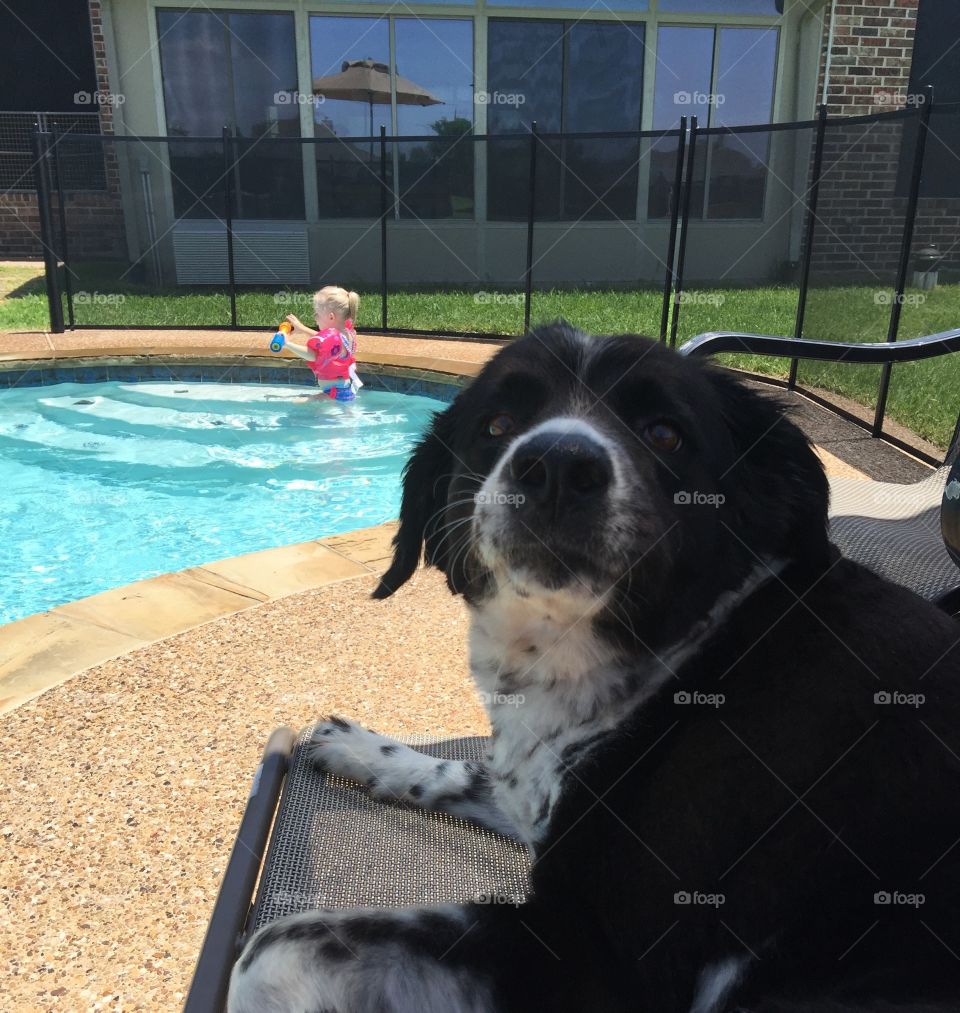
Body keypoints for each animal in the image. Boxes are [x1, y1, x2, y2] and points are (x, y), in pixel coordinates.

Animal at [226, 326, 960, 1013]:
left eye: (664, 433)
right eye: (498, 424)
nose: (555, 464)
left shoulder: (598, 959)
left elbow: (273, 944)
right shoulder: (541, 798)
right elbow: (470, 772)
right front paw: (358, 748)